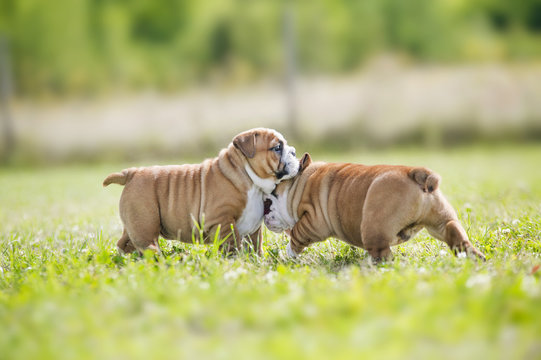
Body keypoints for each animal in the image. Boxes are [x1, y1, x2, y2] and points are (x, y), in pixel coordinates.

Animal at [103, 128, 298, 255]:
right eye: (277, 148)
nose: (294, 151)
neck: (250, 179)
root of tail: (132, 172)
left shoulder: (254, 228)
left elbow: (254, 246)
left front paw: (255, 261)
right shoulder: (222, 222)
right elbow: (232, 244)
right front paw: (235, 261)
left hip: (135, 224)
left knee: (125, 243)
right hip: (145, 224)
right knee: (148, 245)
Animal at [262, 153, 486, 262]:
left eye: (270, 198)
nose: (264, 213)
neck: (300, 183)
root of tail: (417, 174)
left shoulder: (313, 221)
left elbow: (296, 234)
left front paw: (288, 254)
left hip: (373, 225)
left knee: (382, 252)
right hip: (440, 220)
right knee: (454, 232)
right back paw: (475, 256)